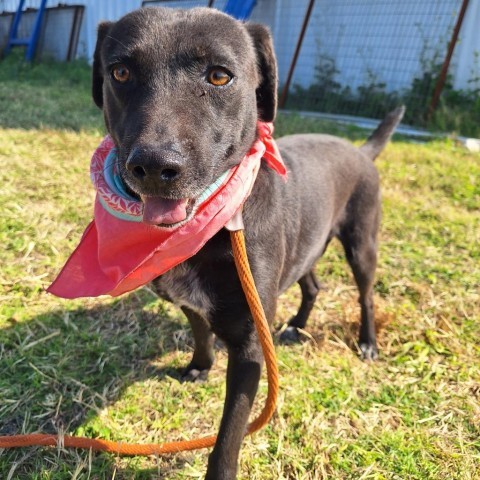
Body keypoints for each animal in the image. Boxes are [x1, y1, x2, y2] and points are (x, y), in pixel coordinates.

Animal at [92, 6, 404, 476]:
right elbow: (201, 332)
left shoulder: (252, 348)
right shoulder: (193, 302)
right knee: (313, 284)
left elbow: (228, 437)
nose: (154, 167)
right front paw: (199, 367)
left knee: (365, 294)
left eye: (220, 76)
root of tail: (360, 149)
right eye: (121, 72)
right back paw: (297, 326)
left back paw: (367, 342)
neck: (212, 226)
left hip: (362, 245)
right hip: (304, 245)